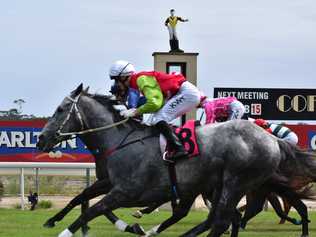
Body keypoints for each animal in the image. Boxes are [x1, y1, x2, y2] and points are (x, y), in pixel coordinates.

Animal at [37, 84, 314, 236]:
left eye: (60, 110)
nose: (41, 140)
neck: (120, 140)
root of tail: (273, 140)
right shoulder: (110, 183)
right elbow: (83, 198)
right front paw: (52, 220)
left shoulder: (127, 191)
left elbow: (95, 209)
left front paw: (66, 231)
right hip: (219, 185)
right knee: (222, 218)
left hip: (235, 182)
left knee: (221, 220)